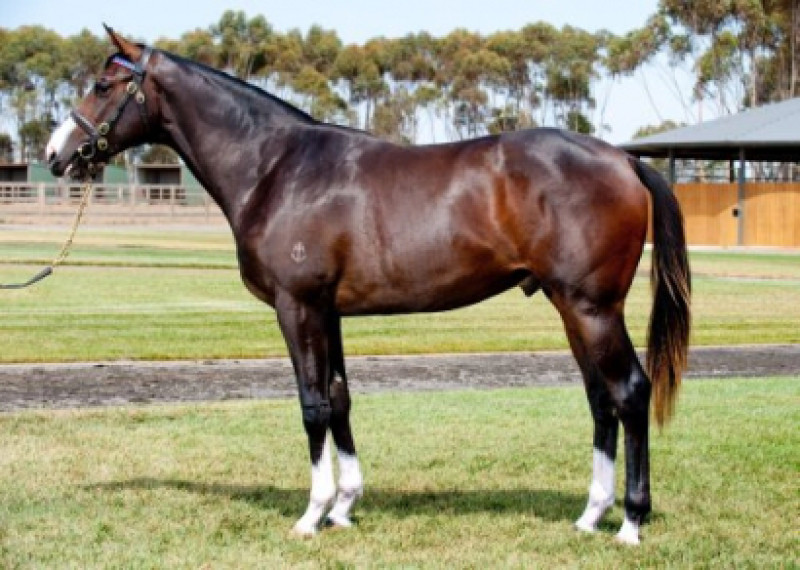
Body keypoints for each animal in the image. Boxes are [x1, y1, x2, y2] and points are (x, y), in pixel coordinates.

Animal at [46, 26, 690, 545]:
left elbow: (312, 405)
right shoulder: (327, 312)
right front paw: (344, 507)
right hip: (570, 307)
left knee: (630, 392)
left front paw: (312, 515)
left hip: (592, 308)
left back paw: (630, 524)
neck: (276, 167)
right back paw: (590, 516)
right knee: (600, 400)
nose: (56, 154)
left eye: (103, 85)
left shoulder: (297, 308)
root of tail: (625, 160)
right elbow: (340, 400)